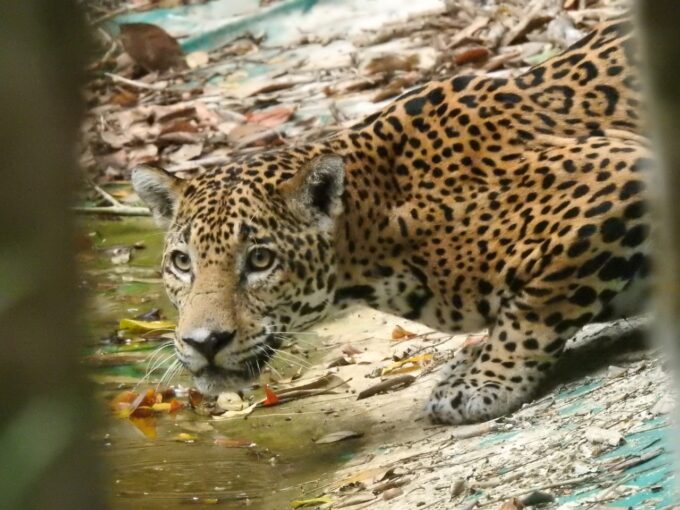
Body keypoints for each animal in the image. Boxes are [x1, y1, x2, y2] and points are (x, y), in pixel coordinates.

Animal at [132, 17, 651, 424]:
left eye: (260, 260)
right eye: (182, 262)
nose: (204, 342)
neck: (380, 225)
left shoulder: (618, 174)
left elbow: (534, 307)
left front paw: (485, 382)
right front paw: (468, 366)